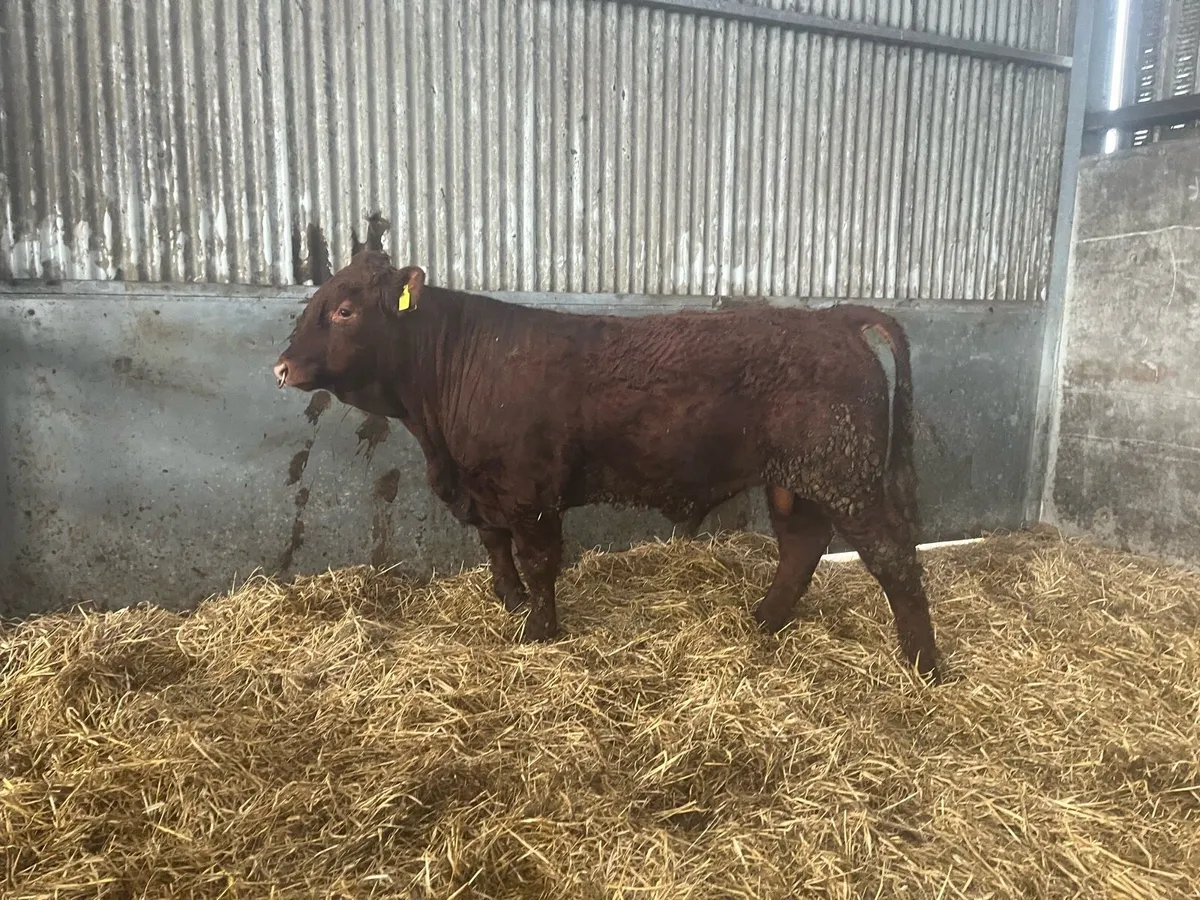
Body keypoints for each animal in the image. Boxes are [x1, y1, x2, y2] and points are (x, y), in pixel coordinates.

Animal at [272, 251, 941, 681]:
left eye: (346, 310)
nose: (282, 368)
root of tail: (831, 317)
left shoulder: (532, 492)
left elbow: (539, 561)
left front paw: (538, 630)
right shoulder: (484, 490)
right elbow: (495, 548)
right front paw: (510, 603)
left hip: (845, 476)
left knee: (893, 558)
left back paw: (924, 666)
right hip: (794, 481)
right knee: (801, 546)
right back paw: (763, 621)